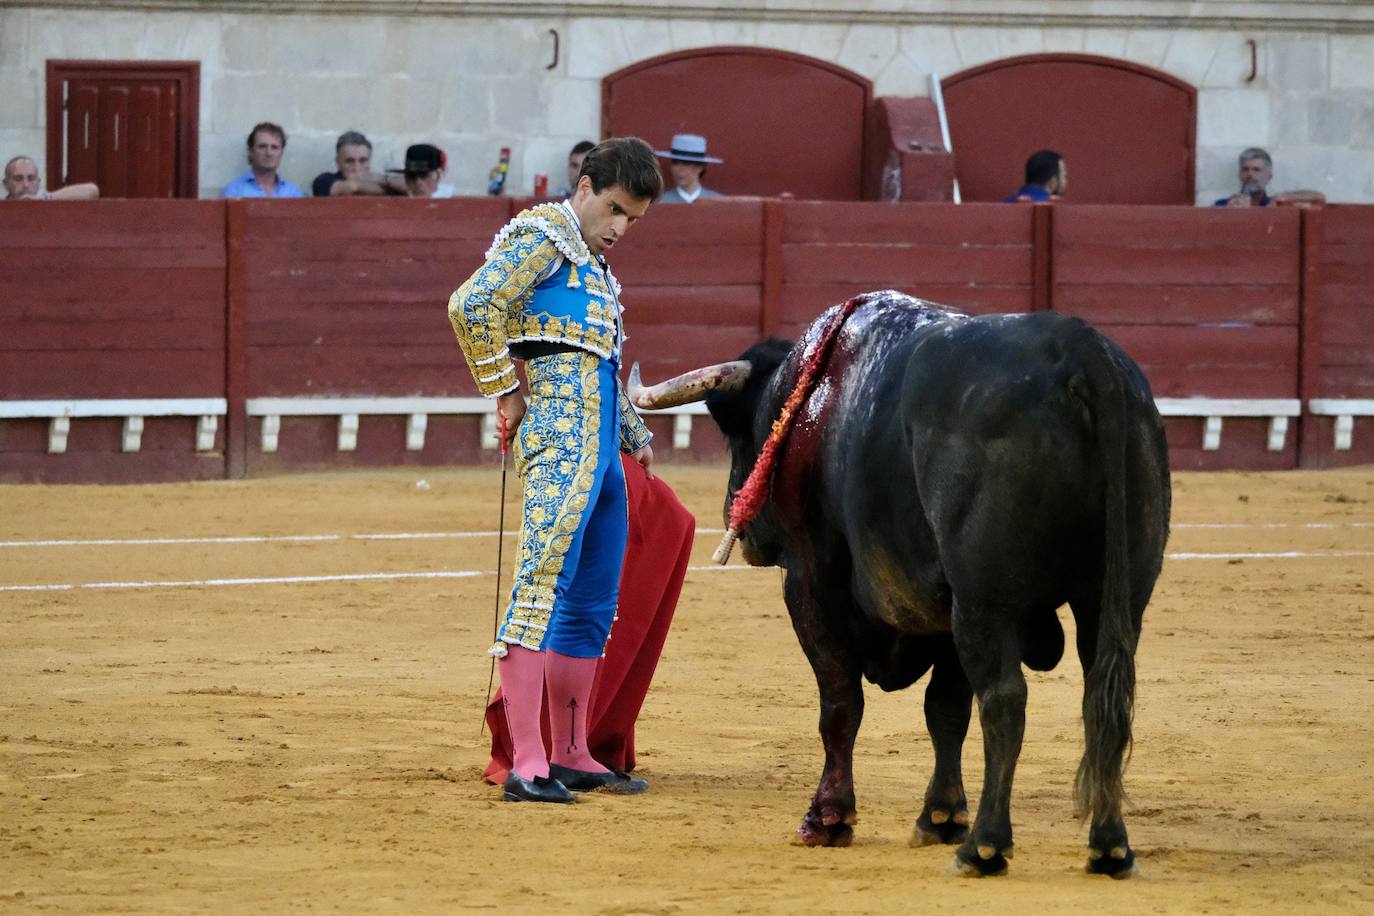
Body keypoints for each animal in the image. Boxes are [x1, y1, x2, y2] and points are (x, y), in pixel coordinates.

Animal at [632, 289, 1170, 878]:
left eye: (741, 432)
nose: (738, 518)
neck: (811, 395)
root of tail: (1079, 350)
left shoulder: (812, 582)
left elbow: (841, 703)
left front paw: (828, 818)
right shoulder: (944, 609)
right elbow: (946, 709)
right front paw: (940, 816)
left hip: (986, 600)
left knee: (1005, 698)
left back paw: (985, 845)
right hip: (1112, 598)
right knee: (1103, 694)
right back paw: (1109, 846)